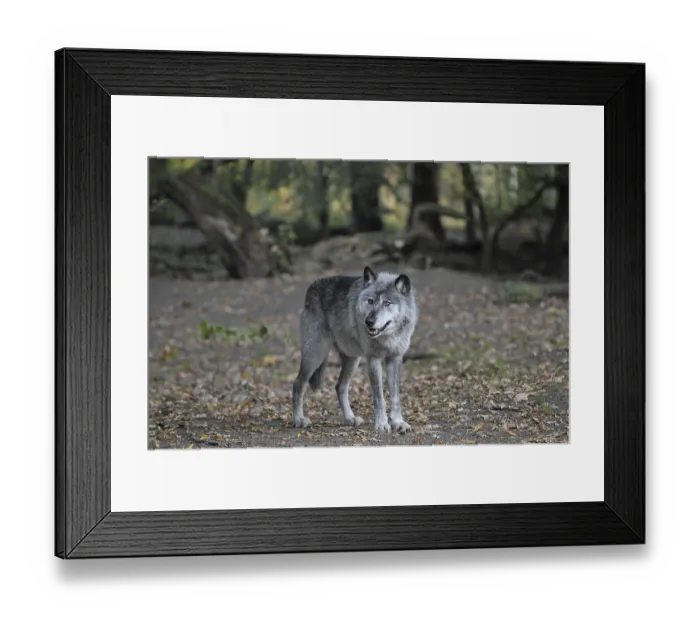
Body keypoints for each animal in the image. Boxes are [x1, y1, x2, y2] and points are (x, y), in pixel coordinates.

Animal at [292, 265, 419, 433]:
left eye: (387, 303)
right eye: (370, 301)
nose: (369, 322)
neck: (388, 336)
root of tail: (312, 285)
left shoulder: (395, 358)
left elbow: (395, 397)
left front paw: (398, 422)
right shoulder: (373, 359)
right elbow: (379, 397)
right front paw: (381, 424)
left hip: (353, 360)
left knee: (340, 386)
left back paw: (350, 418)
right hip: (315, 356)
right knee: (298, 384)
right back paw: (299, 420)